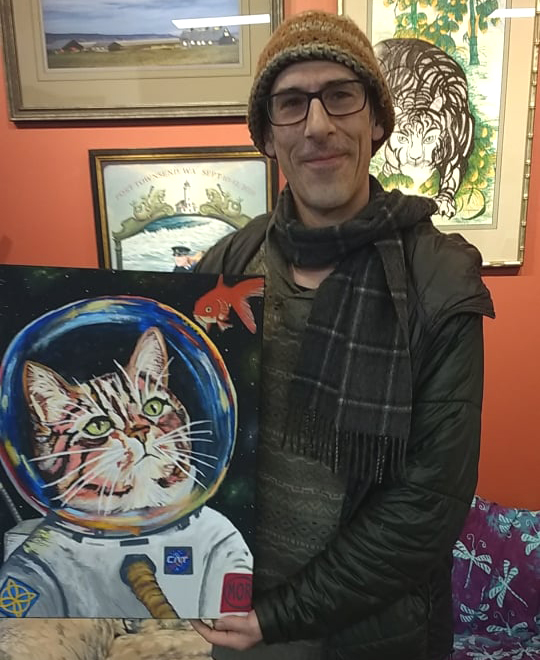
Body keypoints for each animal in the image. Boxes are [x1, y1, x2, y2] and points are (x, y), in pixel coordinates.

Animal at [374, 38, 475, 218]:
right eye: (402, 138)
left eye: (429, 138)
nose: (415, 158)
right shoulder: (392, 158)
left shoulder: (457, 156)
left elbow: (451, 177)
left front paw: (444, 201)